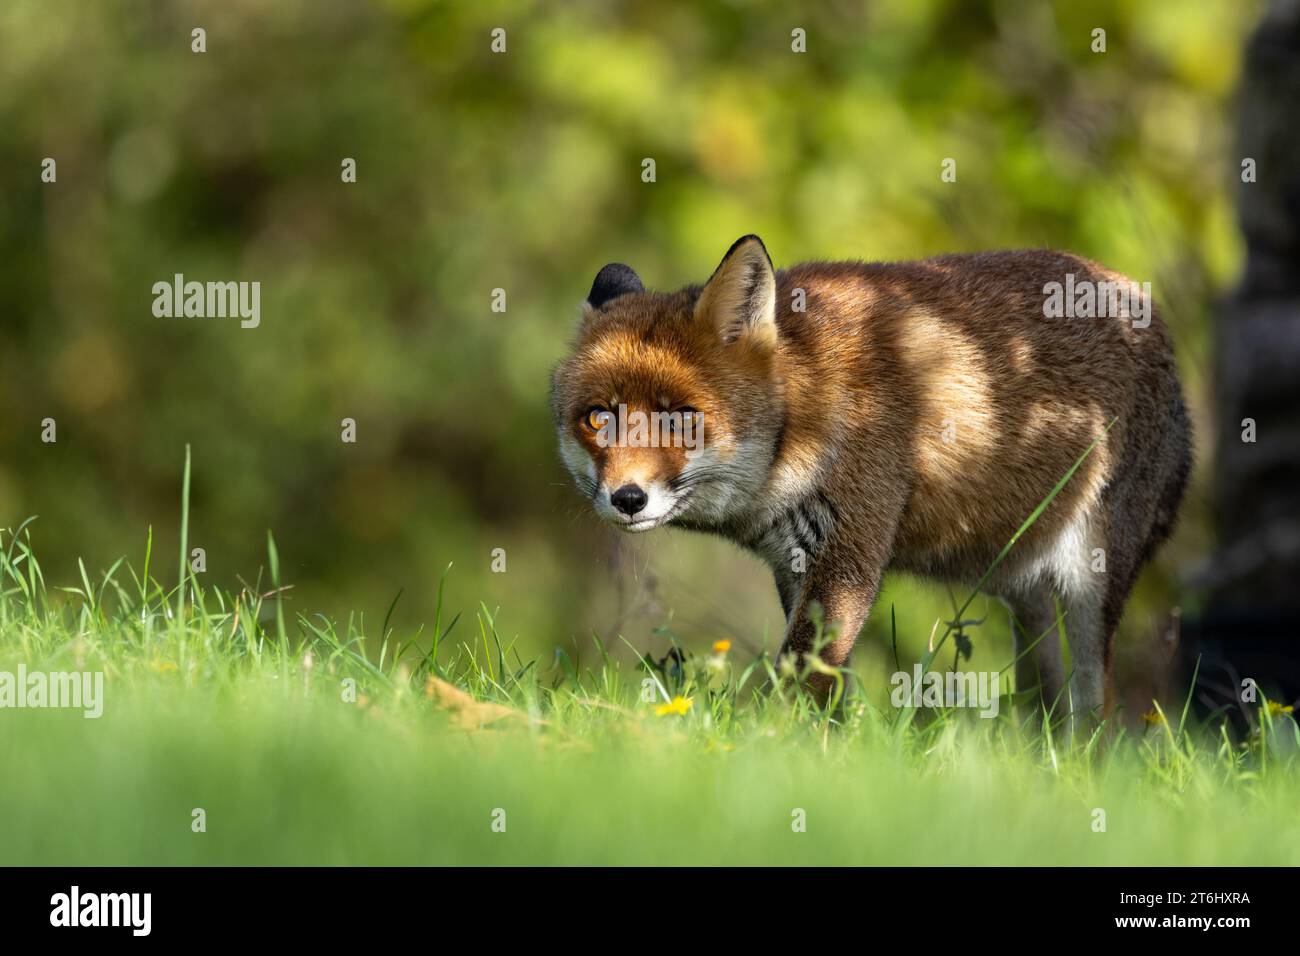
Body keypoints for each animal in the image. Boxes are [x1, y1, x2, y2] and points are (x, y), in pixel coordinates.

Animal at [551, 235, 1192, 720]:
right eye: (598, 418)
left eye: (681, 419)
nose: (627, 498)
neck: (809, 410)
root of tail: (1148, 314)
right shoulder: (797, 567)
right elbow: (828, 687)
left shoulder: (848, 560)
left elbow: (798, 680)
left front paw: (770, 747)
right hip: (1023, 593)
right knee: (1046, 708)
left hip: (1090, 584)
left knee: (1096, 714)